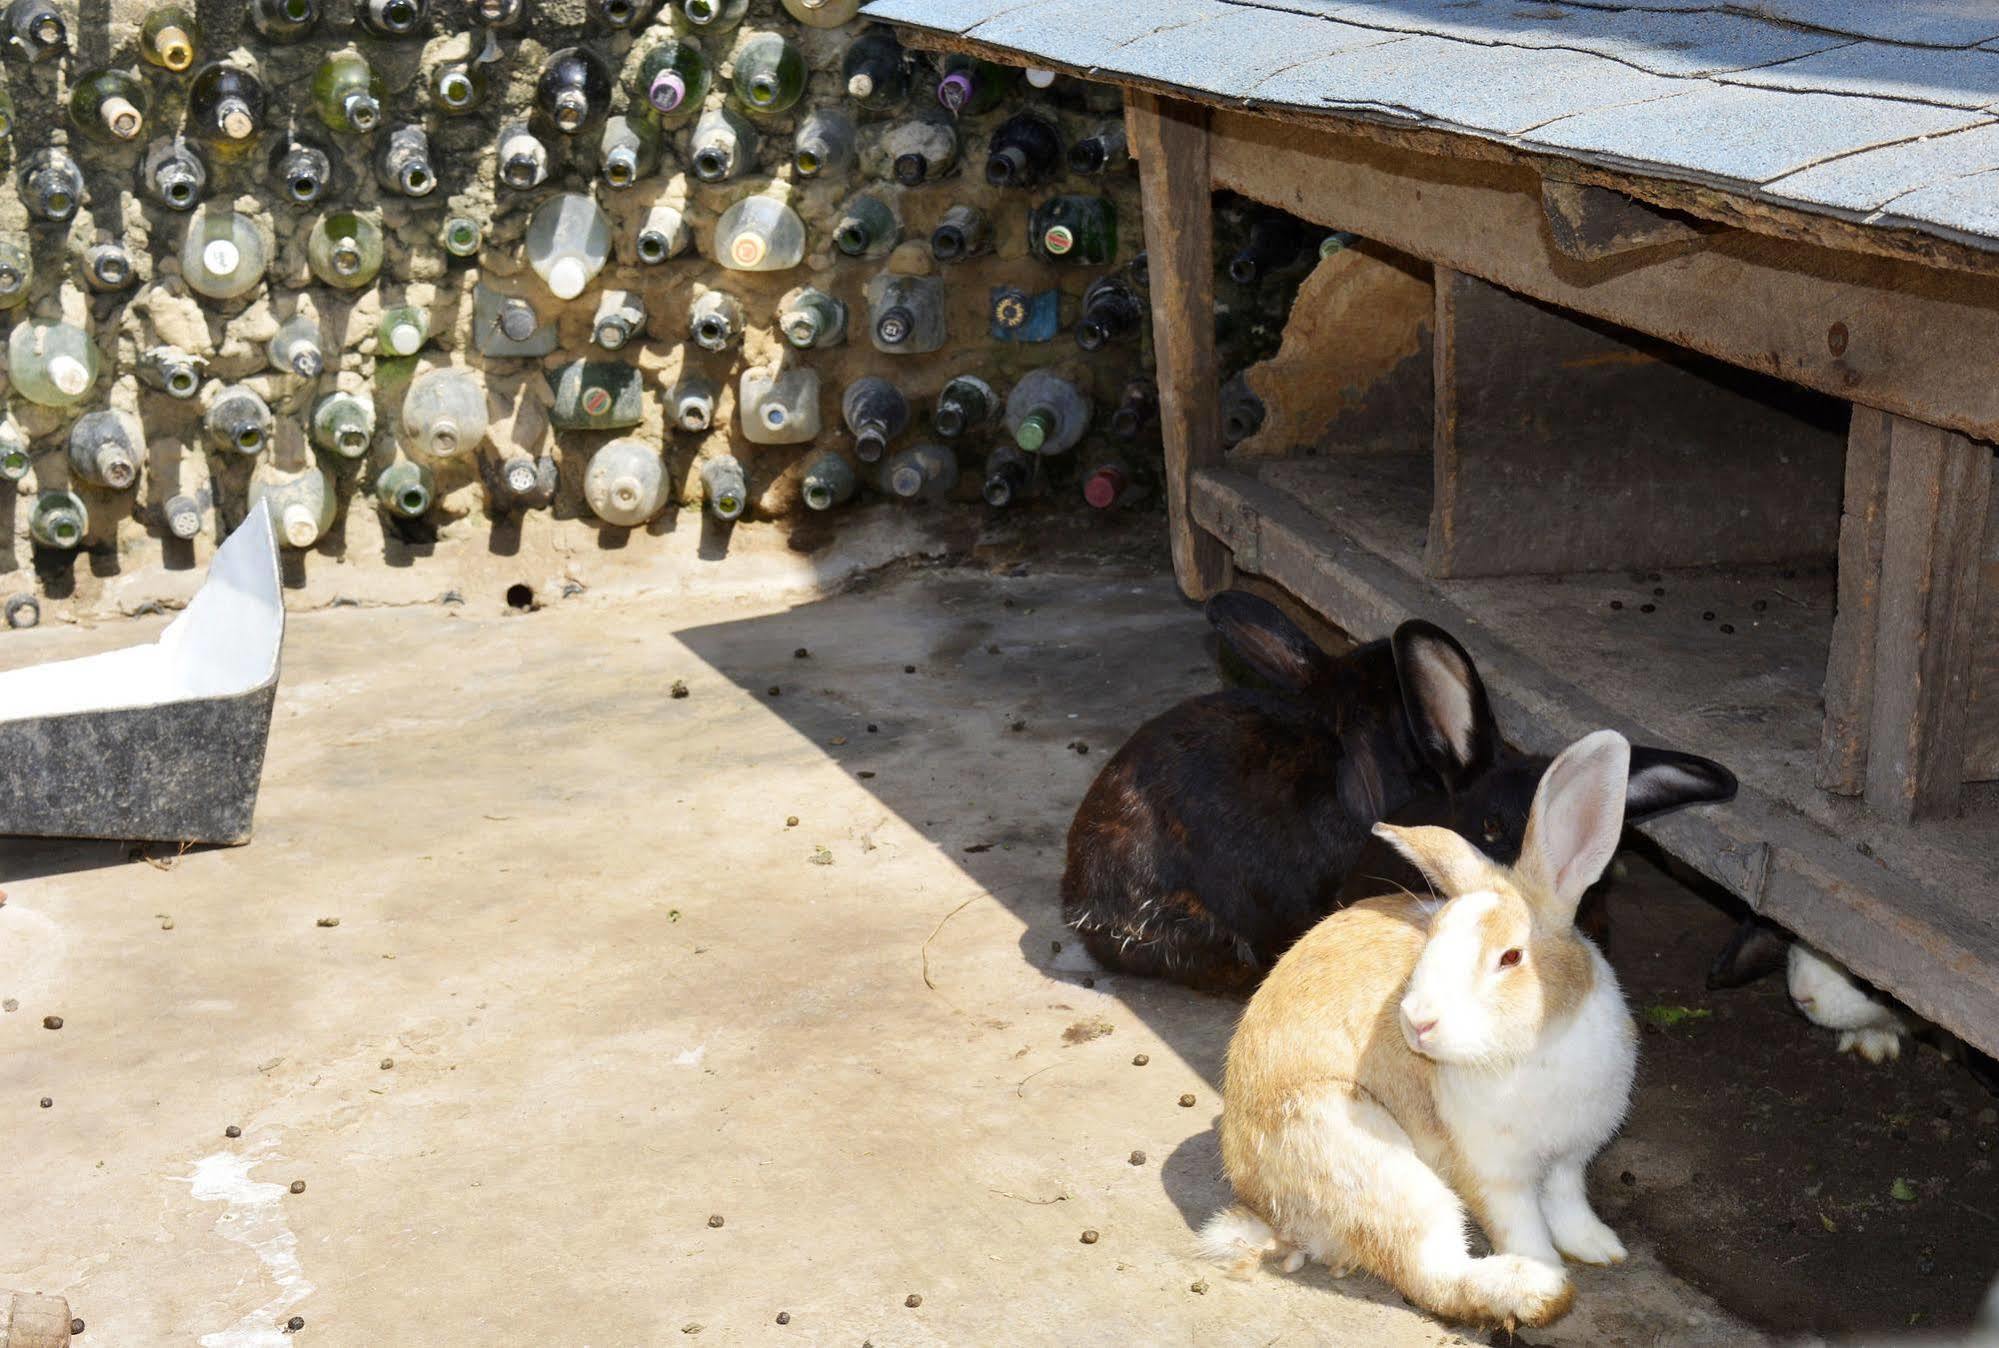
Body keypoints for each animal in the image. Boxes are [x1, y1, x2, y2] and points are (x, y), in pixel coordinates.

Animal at [1199, 724, 1639, 1320]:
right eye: (1433, 938)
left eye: (1510, 957)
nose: (1417, 1022)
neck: (1536, 1050)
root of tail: (1262, 1201)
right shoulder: (1493, 1175)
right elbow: (1523, 1228)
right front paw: (1550, 1269)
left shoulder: (1571, 1158)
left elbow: (1569, 1205)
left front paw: (1601, 1249)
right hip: (1382, 1165)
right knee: (1430, 1273)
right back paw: (1533, 1291)